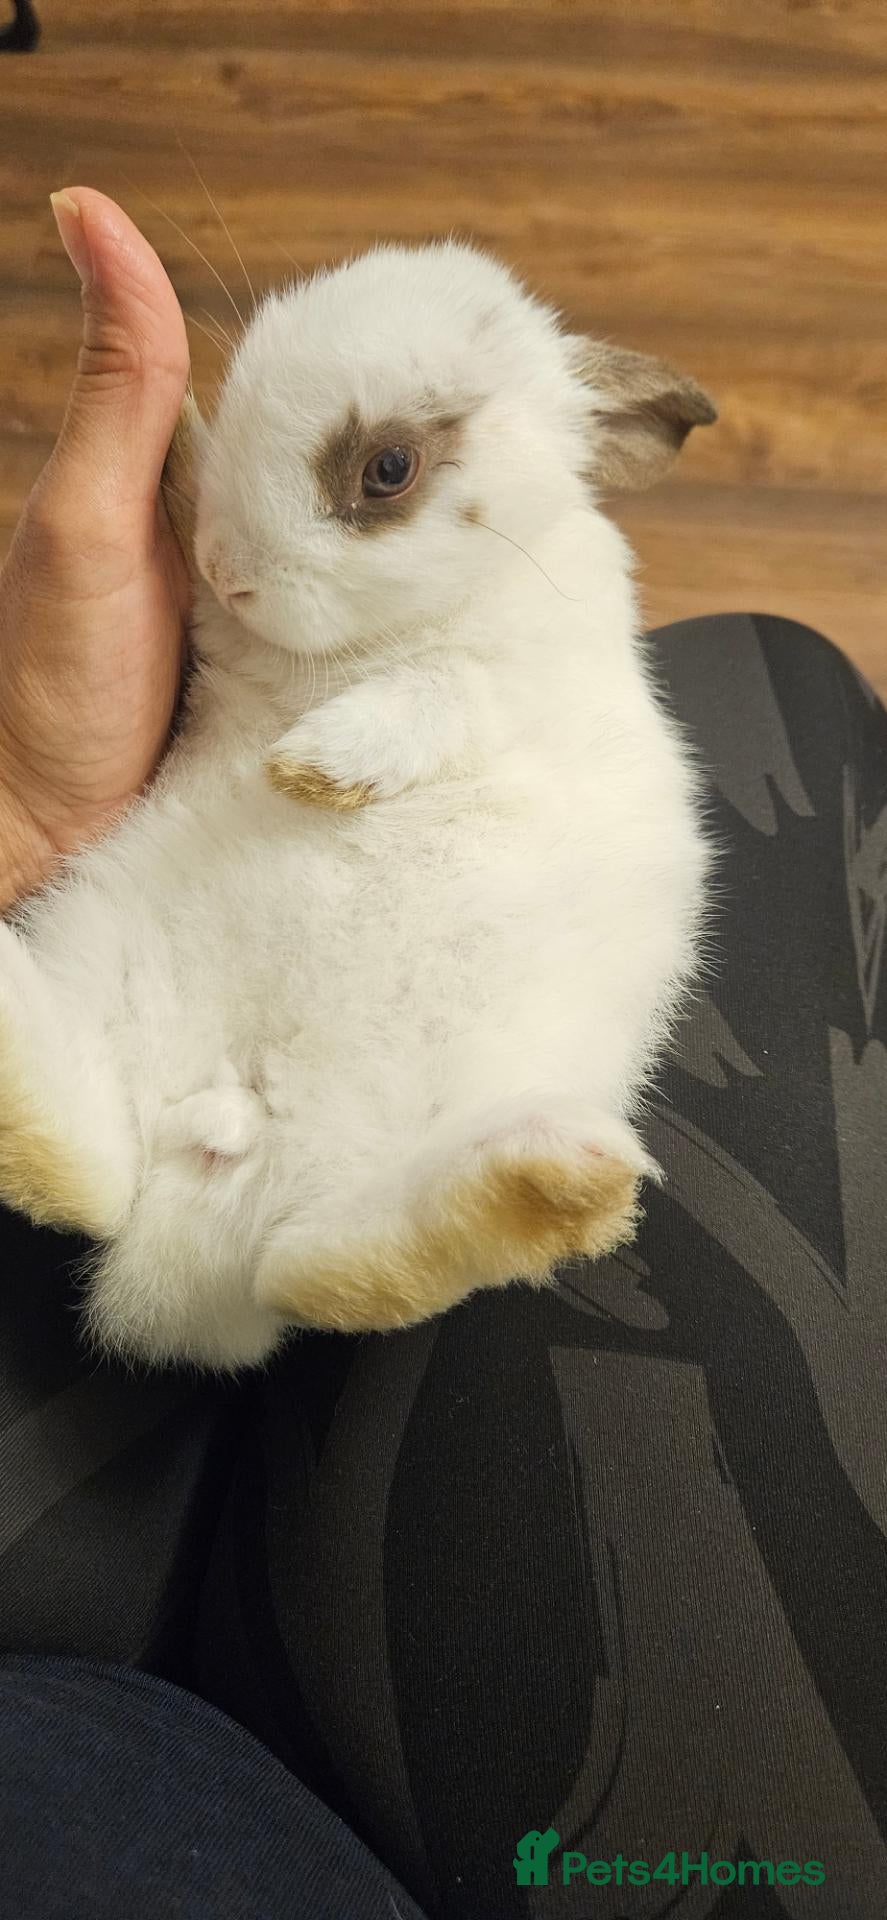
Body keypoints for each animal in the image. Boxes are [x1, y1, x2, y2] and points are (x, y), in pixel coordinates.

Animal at [0, 239, 716, 1371]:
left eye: (388, 469)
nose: (226, 567)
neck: (377, 635)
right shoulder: (226, 643)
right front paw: (181, 444)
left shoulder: (507, 683)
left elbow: (432, 698)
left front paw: (311, 769)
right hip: (102, 969)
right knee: (102, 1171)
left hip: (417, 1133)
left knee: (339, 1269)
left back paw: (556, 1182)